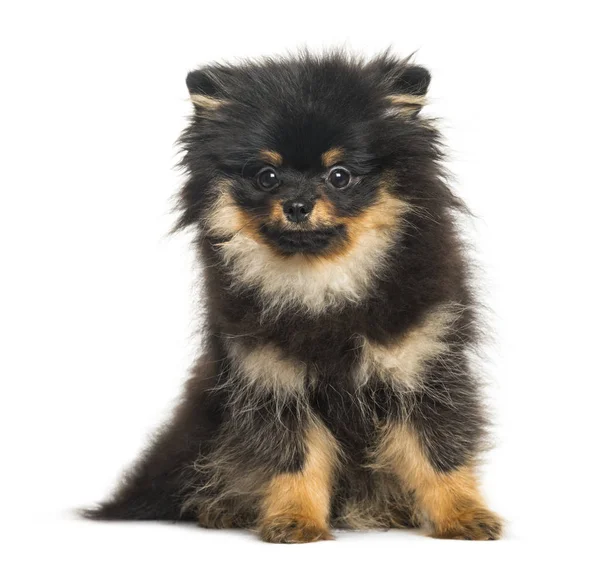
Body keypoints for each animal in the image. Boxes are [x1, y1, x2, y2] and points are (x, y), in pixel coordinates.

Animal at [85, 51, 502, 540]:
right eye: (267, 176)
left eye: (339, 176)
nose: (298, 205)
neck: (322, 287)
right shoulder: (274, 379)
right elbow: (294, 458)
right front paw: (295, 518)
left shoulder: (421, 367)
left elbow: (438, 452)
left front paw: (463, 514)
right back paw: (221, 508)